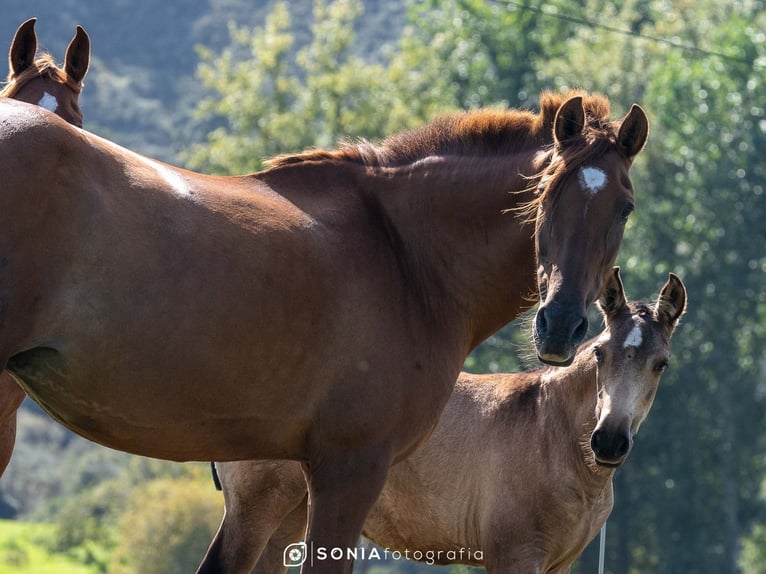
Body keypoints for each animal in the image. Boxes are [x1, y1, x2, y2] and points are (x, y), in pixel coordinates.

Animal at [206, 270, 688, 574]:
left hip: (292, 514)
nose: (608, 442)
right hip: (256, 509)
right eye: (600, 353)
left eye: (661, 363)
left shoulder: (559, 564)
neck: (551, 435)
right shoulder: (514, 557)